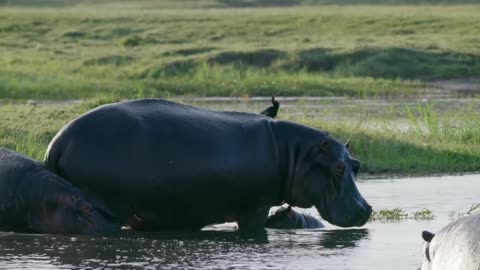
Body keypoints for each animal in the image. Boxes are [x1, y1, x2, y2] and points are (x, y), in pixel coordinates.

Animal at [44, 98, 372, 231]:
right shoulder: (256, 207)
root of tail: (58, 141)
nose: (366, 209)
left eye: (355, 164)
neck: (295, 154)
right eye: (338, 168)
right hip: (106, 206)